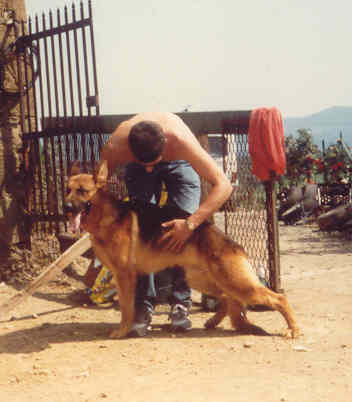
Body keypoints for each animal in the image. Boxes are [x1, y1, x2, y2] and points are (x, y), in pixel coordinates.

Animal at [64, 160, 298, 340]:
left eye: (82, 191)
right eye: (67, 190)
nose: (66, 208)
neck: (106, 216)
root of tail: (230, 242)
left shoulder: (124, 277)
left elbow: (126, 309)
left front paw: (122, 331)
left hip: (237, 284)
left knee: (279, 299)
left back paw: (293, 330)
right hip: (203, 280)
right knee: (226, 299)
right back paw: (213, 321)